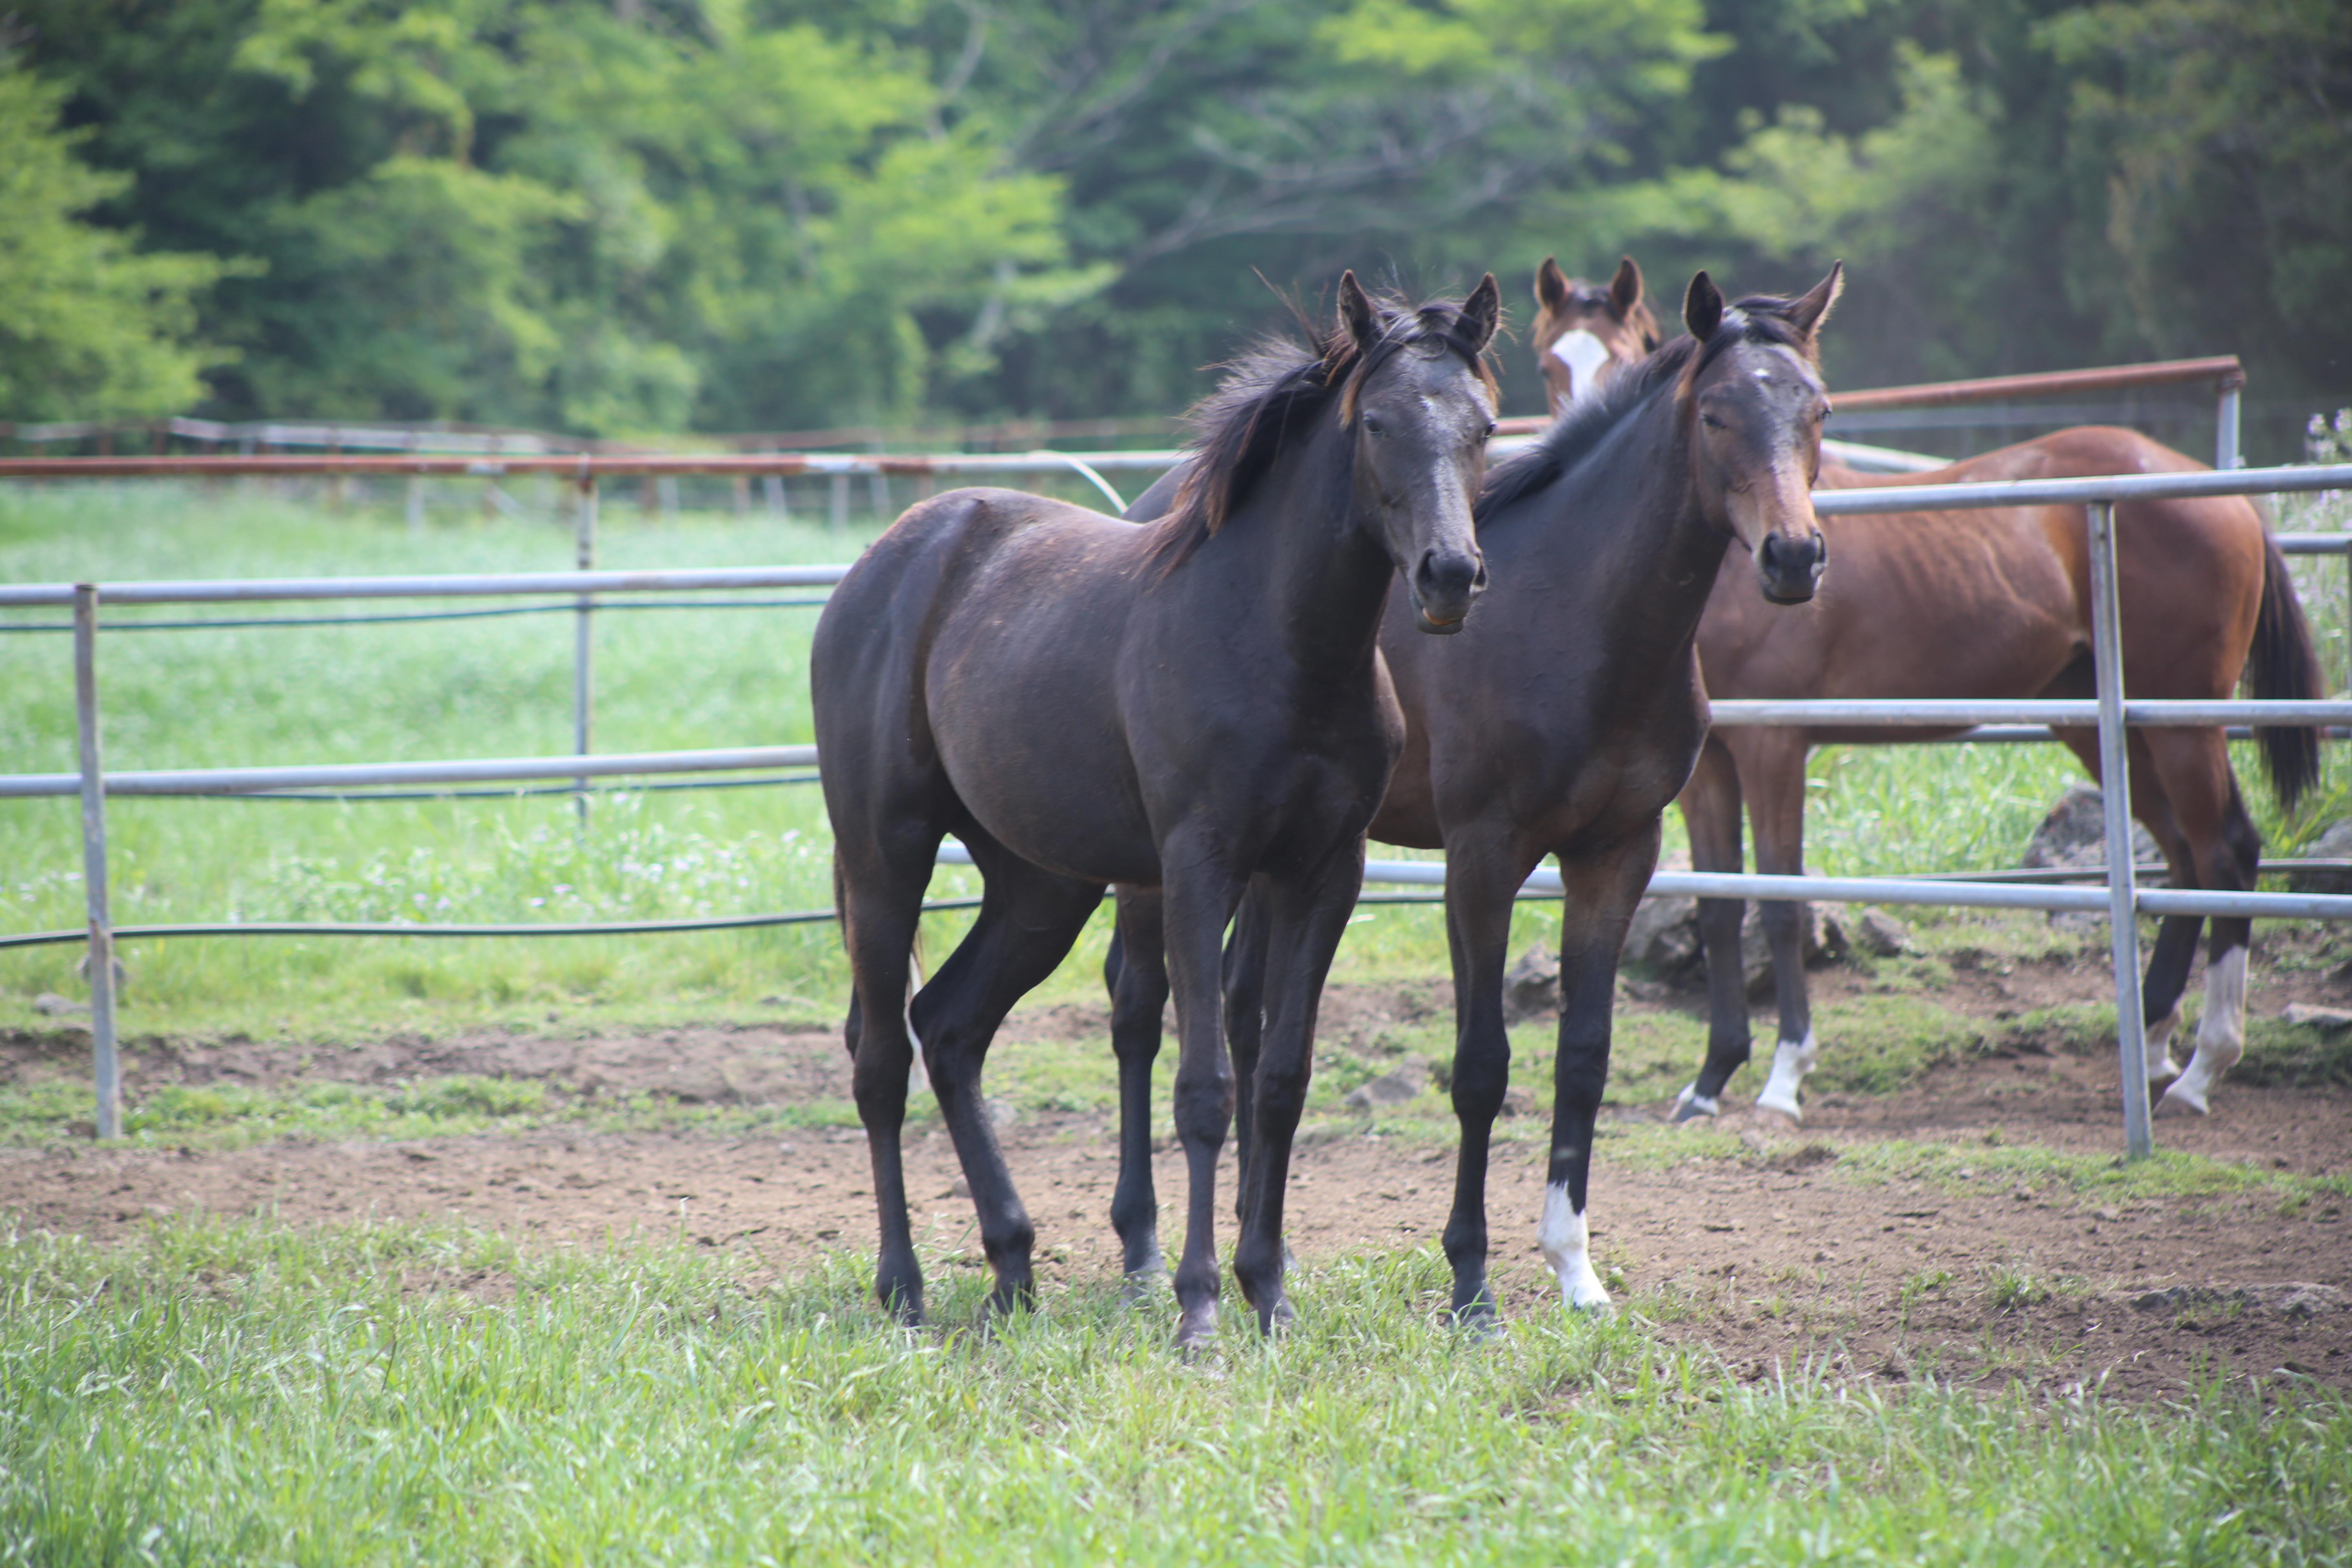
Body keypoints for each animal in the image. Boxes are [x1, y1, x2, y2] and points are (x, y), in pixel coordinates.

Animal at [809, 272, 1505, 1354]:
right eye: (1376, 421)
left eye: (1482, 425)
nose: (1448, 575)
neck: (1283, 645)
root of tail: (882, 563)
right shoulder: (1197, 866)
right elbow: (1204, 1090)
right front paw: (1197, 1306)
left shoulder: (1323, 872)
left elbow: (1279, 1082)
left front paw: (1269, 1292)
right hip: (888, 857)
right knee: (882, 1057)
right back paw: (904, 1289)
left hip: (1039, 891)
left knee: (951, 1028)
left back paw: (1012, 1267)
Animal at [1100, 272, 1834, 1326]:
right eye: (1715, 412)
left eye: (1817, 411)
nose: (1792, 556)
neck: (1581, 622)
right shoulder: (1483, 856)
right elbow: (1482, 1065)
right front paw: (1471, 1283)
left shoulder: (1618, 851)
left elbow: (1583, 1054)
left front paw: (1575, 1269)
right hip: (1161, 866)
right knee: (1137, 1007)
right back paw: (1143, 1249)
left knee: (1242, 1008)